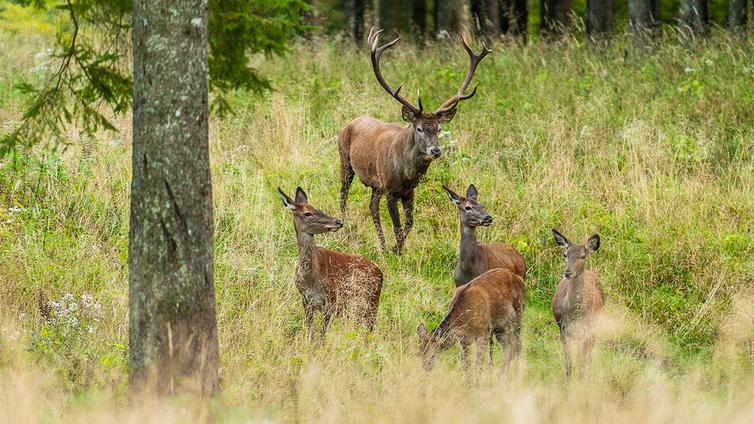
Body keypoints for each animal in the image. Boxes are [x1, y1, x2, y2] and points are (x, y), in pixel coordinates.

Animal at [278, 186, 382, 342]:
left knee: (370, 330)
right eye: (308, 213)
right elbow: (311, 331)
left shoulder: (332, 300)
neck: (311, 280)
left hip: (372, 301)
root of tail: (380, 272)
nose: (338, 222)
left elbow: (322, 334)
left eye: (318, 208)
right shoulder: (305, 300)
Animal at [338, 28, 490, 253]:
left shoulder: (409, 191)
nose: (436, 151)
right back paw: (346, 228)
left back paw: (382, 245)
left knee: (372, 207)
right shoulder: (390, 189)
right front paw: (396, 252)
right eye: (418, 128)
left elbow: (410, 223)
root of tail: (349, 123)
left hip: (376, 185)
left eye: (439, 128)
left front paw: (394, 249)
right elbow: (397, 225)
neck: (407, 174)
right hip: (345, 162)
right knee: (343, 195)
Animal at [548, 229, 604, 378]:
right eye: (565, 254)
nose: (568, 272)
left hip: (595, 324)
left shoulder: (586, 329)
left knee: (589, 353)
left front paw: (581, 380)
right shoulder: (562, 328)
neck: (573, 312)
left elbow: (581, 363)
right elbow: (569, 364)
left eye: (583, 256)